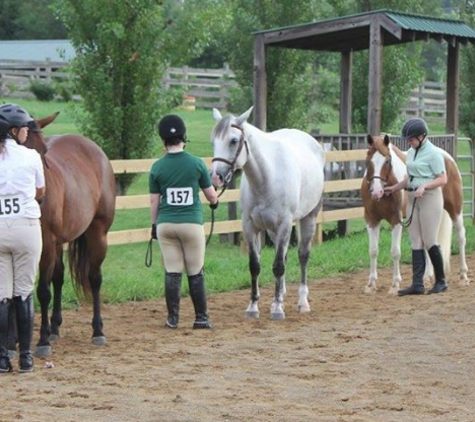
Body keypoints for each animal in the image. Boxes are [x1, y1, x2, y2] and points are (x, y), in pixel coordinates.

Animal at [24, 112, 116, 356]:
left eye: (43, 152)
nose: (39, 197)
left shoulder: (45, 243)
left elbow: (42, 291)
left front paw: (42, 342)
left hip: (97, 233)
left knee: (94, 278)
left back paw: (97, 331)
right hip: (58, 242)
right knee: (58, 277)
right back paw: (54, 328)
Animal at [211, 106, 326, 320]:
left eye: (233, 140)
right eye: (213, 141)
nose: (216, 177)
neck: (267, 178)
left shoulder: (284, 225)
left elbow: (278, 266)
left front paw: (278, 309)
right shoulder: (250, 227)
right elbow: (255, 265)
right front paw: (253, 307)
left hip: (308, 219)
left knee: (302, 255)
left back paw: (302, 302)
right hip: (272, 230)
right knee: (285, 258)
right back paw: (279, 295)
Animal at [364, 135, 468, 294]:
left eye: (387, 161)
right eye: (368, 160)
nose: (376, 192)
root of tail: (447, 157)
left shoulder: (396, 220)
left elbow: (395, 252)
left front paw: (395, 284)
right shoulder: (371, 220)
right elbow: (373, 251)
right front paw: (371, 284)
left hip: (455, 209)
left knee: (461, 237)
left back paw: (463, 276)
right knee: (429, 243)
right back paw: (427, 277)